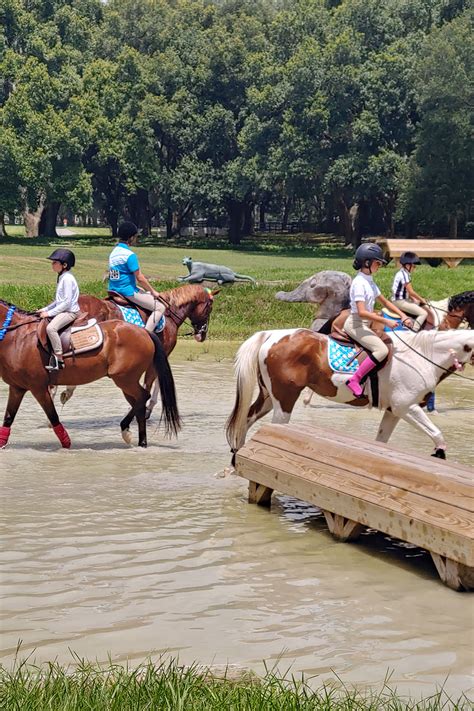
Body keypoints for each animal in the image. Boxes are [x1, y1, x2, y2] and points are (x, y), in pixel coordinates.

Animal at [0, 300, 181, 450]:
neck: (18, 337)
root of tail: (144, 331)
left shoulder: (38, 388)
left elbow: (53, 416)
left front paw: (66, 444)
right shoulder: (17, 388)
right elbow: (8, 417)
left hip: (125, 379)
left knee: (143, 396)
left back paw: (125, 429)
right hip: (127, 383)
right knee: (139, 404)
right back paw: (140, 441)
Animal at [57, 286, 217, 418]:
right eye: (209, 308)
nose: (202, 334)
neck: (169, 315)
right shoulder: (161, 354)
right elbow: (152, 381)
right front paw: (144, 409)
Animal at [226, 326, 474, 458]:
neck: (422, 356)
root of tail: (272, 334)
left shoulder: (393, 411)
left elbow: (381, 441)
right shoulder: (407, 407)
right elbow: (437, 434)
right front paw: (439, 453)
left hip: (269, 397)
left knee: (246, 419)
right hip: (285, 399)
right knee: (276, 427)